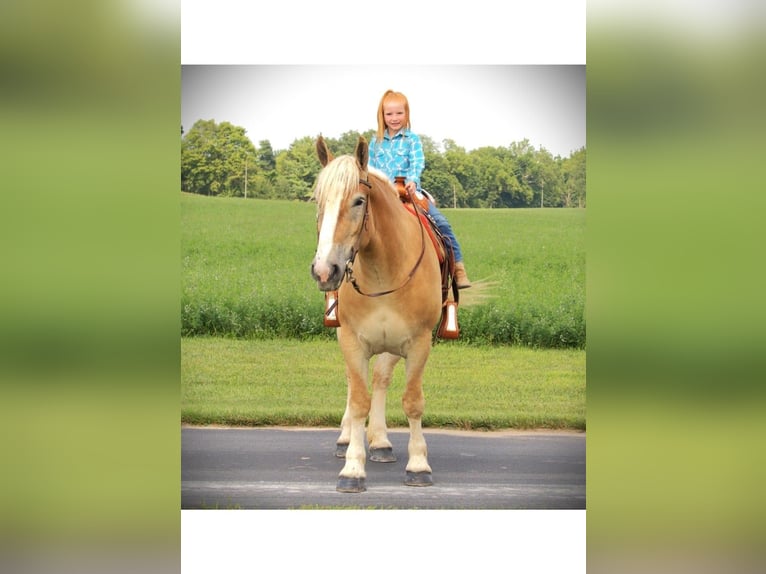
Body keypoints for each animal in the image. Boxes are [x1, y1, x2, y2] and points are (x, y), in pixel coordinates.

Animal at [310, 135, 443, 493]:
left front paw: (419, 464)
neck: (383, 270)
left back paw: (381, 442)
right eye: (318, 201)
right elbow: (358, 400)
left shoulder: (418, 343)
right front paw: (353, 468)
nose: (325, 270)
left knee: (381, 378)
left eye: (358, 201)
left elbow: (412, 401)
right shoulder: (351, 340)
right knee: (355, 383)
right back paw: (346, 439)